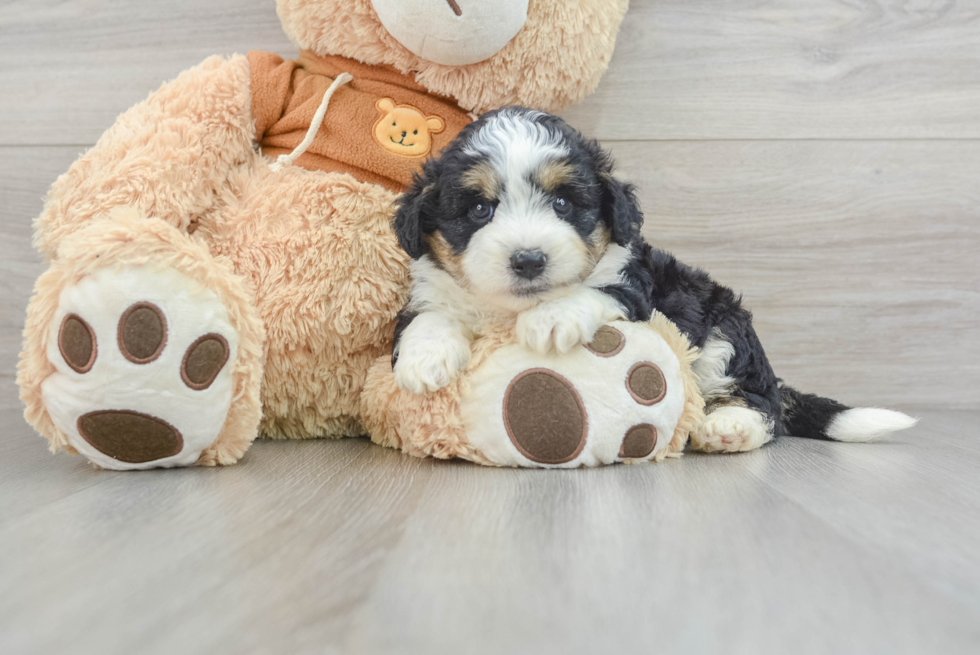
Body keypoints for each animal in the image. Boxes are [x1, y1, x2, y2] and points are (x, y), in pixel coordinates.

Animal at [390, 110, 920, 454]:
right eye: (480, 209)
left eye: (562, 204)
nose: (528, 260)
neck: (511, 308)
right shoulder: (431, 290)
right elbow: (429, 316)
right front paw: (424, 360)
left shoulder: (633, 286)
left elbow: (592, 289)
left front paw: (551, 319)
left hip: (725, 332)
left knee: (763, 401)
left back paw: (730, 426)